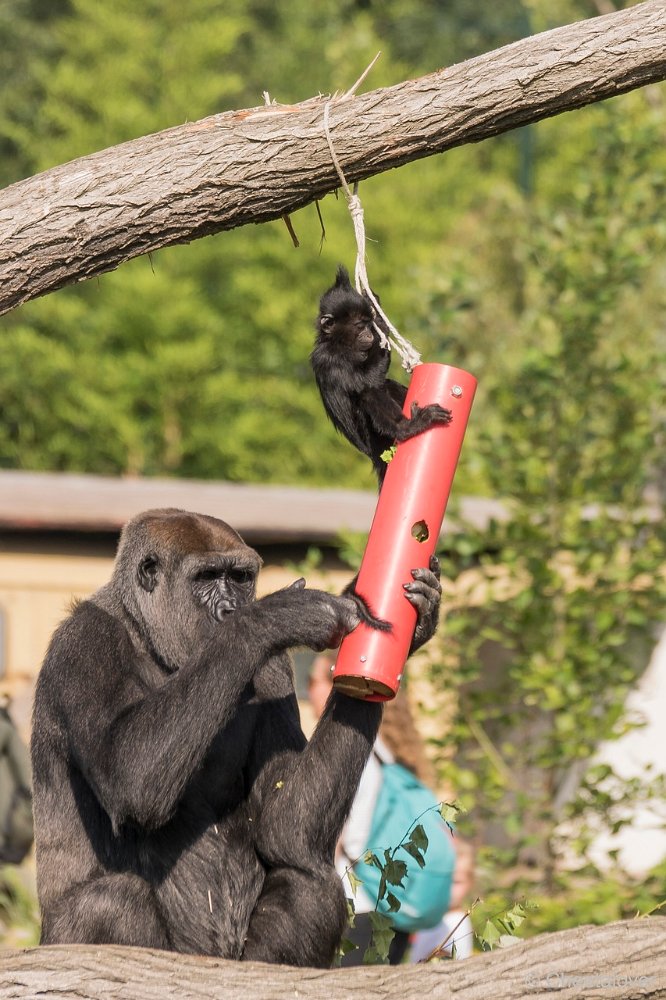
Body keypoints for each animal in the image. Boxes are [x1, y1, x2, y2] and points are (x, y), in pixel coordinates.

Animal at [31, 508, 440, 968]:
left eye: (240, 577)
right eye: (207, 576)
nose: (230, 609)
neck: (148, 636)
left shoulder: (275, 669)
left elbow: (286, 827)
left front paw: (411, 626)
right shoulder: (84, 643)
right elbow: (127, 776)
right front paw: (272, 616)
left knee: (309, 884)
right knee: (109, 900)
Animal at [312, 266, 452, 484]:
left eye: (367, 324)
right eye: (359, 325)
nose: (370, 332)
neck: (338, 343)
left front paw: (374, 307)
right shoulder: (331, 359)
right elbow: (366, 382)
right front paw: (382, 330)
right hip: (374, 438)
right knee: (369, 392)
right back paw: (409, 427)